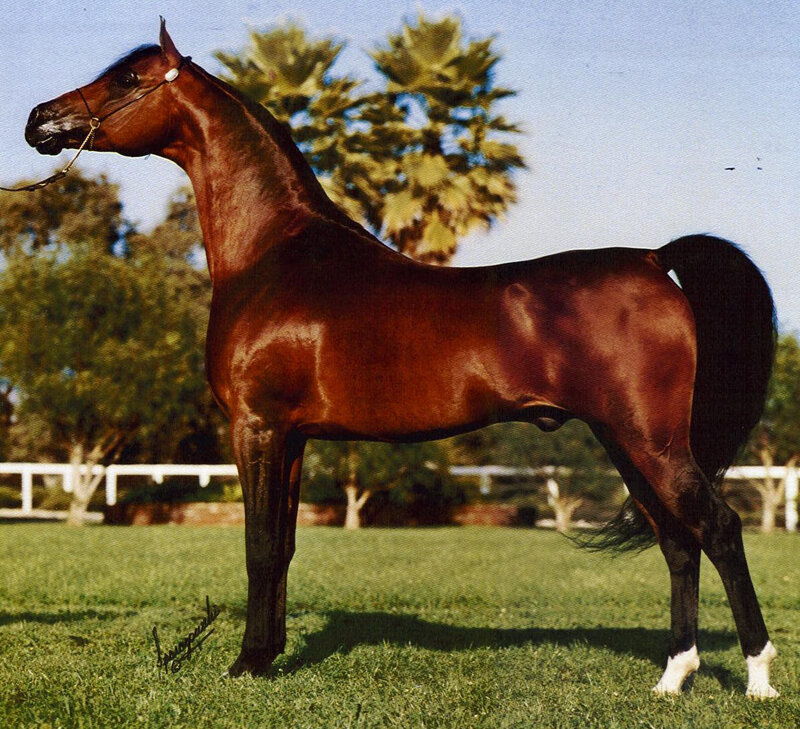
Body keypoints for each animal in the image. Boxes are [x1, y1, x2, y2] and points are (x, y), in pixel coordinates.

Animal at [23, 20, 779, 697]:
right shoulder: (292, 437)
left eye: (128, 78)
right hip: (626, 442)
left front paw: (245, 664)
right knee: (677, 540)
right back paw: (673, 677)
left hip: (648, 440)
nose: (39, 120)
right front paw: (269, 655)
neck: (276, 255)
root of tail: (654, 260)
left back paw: (758, 679)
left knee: (718, 527)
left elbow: (259, 546)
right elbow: (284, 545)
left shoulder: (257, 426)